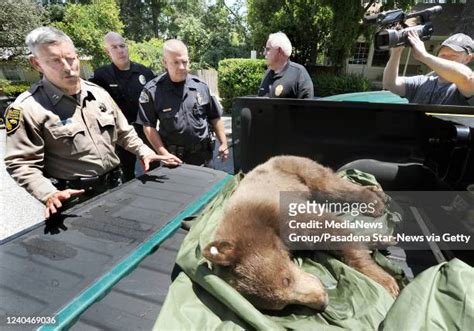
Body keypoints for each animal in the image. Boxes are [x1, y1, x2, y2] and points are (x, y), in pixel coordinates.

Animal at [202, 156, 398, 312]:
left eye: (286, 280)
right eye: (283, 306)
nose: (323, 301)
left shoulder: (278, 211)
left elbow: (328, 229)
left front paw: (387, 282)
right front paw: (380, 241)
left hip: (300, 171)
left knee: (332, 186)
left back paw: (375, 202)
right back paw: (378, 193)